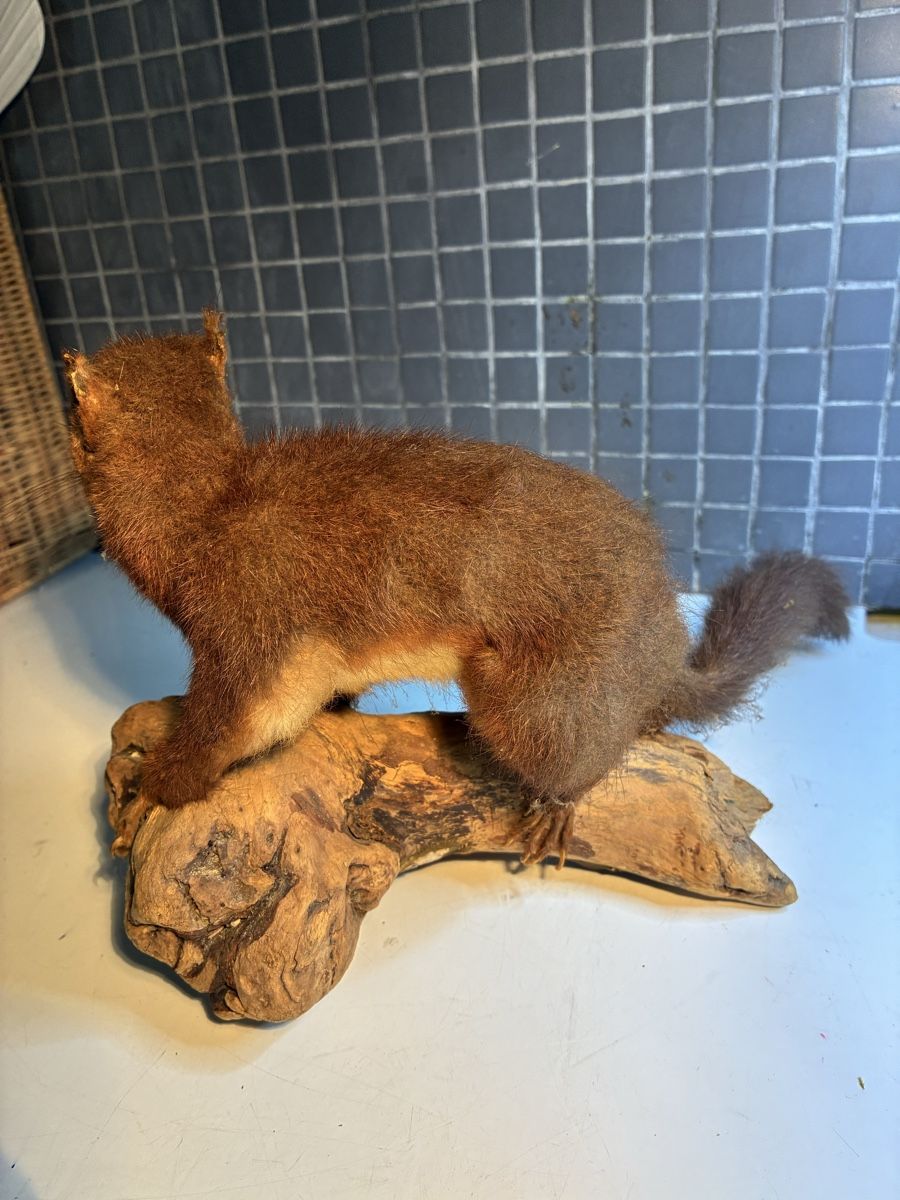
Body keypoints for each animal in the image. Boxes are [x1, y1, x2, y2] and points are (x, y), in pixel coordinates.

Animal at [65, 311, 850, 863]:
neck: (205, 513)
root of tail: (663, 641)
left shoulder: (248, 623)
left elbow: (236, 723)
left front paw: (154, 787)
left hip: (529, 694)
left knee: (594, 747)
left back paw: (556, 810)